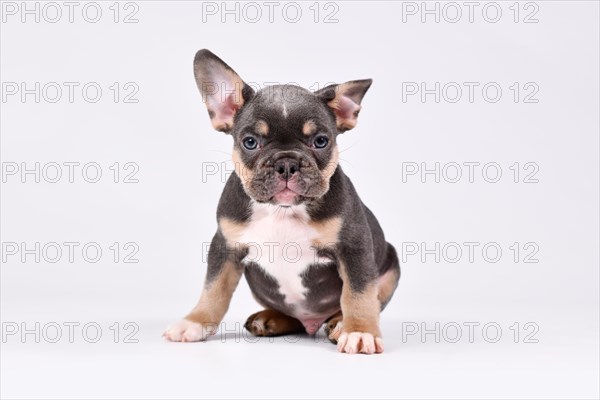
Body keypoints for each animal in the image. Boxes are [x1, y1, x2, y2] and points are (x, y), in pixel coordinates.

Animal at [162, 49, 400, 354]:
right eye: (250, 142)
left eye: (321, 141)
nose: (286, 163)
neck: (282, 210)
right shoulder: (225, 246)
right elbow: (213, 289)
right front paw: (195, 321)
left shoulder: (354, 246)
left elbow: (358, 293)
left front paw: (360, 331)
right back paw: (270, 319)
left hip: (391, 265)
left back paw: (338, 323)